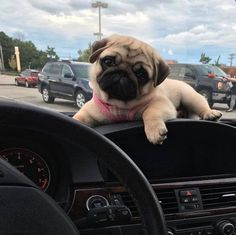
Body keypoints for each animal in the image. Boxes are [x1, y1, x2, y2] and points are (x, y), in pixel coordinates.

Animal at [73, 34, 222, 144]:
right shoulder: (88, 113)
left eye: (141, 74)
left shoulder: (162, 104)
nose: (122, 73)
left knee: (202, 105)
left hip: (191, 97)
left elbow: (150, 112)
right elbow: (78, 119)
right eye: (108, 61)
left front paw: (155, 131)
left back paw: (210, 114)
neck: (119, 104)